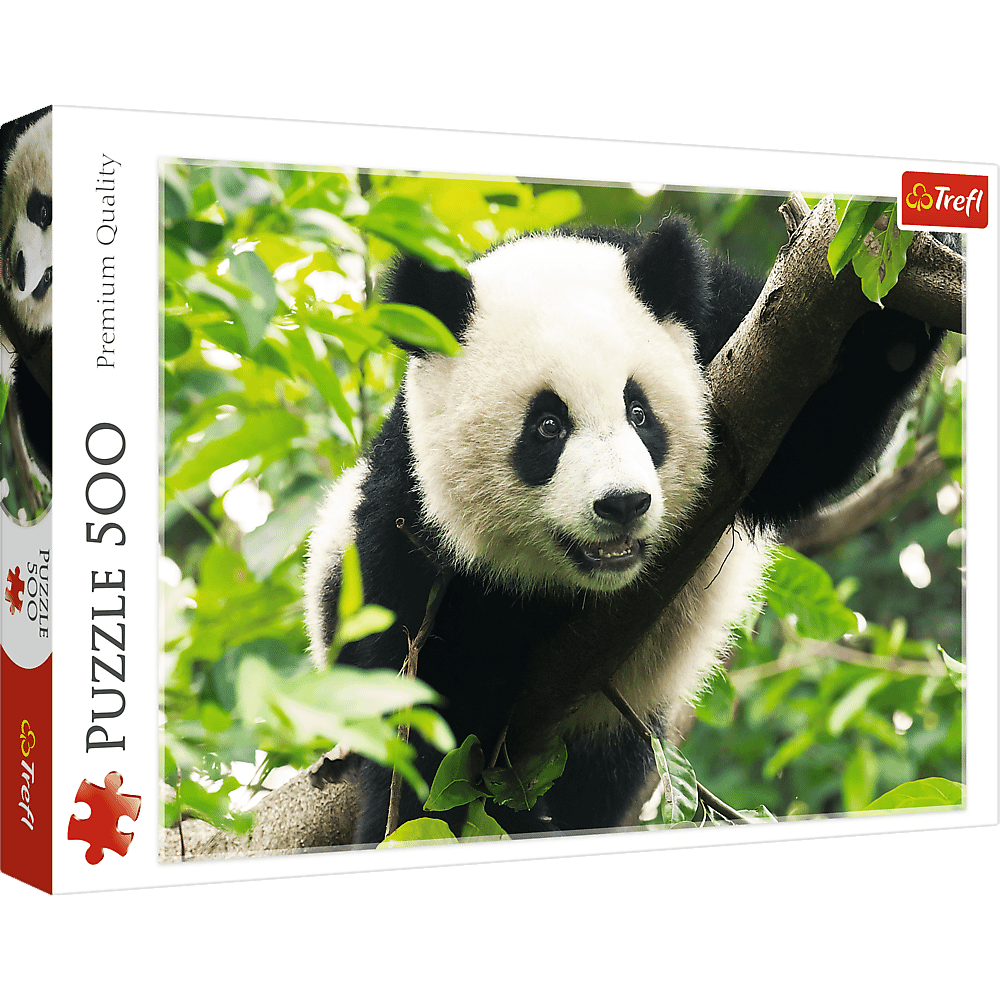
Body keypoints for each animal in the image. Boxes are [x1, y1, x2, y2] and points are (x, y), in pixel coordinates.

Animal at [304, 214, 948, 844]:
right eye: (547, 425)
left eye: (639, 413)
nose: (622, 504)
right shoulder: (410, 524)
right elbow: (425, 704)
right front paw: (410, 817)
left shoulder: (729, 333)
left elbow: (810, 442)